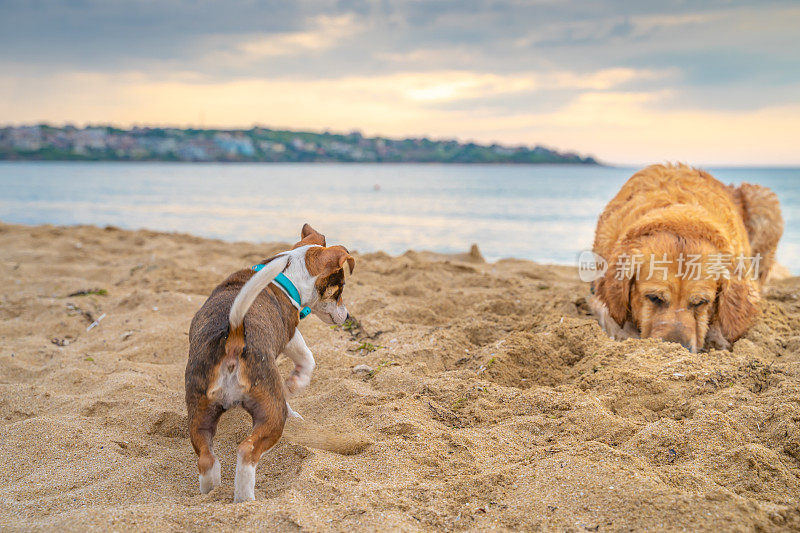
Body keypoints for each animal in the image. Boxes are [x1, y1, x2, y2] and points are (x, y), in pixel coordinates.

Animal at [186, 222, 354, 500]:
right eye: (339, 289)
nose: (348, 317)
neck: (286, 274)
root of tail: (234, 337)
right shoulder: (290, 333)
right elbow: (307, 357)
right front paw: (296, 383)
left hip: (200, 411)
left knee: (206, 458)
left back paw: (210, 490)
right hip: (271, 412)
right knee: (247, 450)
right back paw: (246, 499)